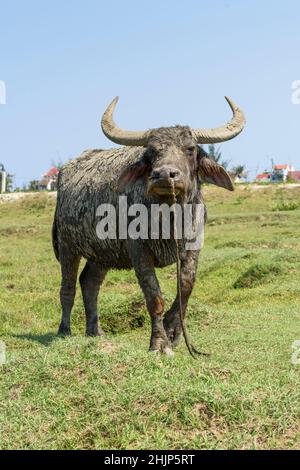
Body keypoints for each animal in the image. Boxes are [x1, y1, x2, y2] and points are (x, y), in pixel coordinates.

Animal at [52, 96, 245, 352]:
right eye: (152, 152)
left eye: (190, 148)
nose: (164, 174)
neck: (169, 219)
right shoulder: (139, 251)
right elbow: (154, 296)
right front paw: (160, 342)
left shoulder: (194, 246)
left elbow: (186, 286)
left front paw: (173, 331)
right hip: (67, 246)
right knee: (68, 287)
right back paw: (64, 330)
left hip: (102, 254)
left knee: (89, 283)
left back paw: (95, 331)